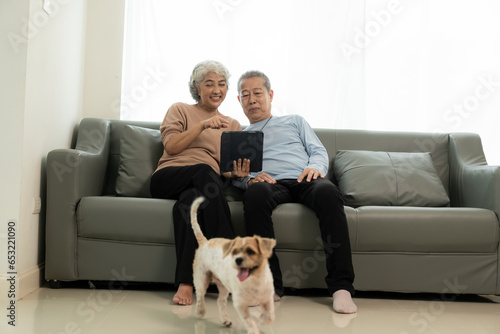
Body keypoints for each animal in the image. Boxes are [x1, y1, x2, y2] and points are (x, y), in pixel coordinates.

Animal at [191, 197, 278, 332]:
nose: (238, 260)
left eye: (251, 251)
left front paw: (263, 319)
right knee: (200, 295)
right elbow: (249, 321)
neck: (254, 281)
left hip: (223, 286)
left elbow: (270, 316)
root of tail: (205, 242)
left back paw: (224, 320)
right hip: (201, 278)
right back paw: (200, 311)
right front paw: (254, 330)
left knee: (220, 301)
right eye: (234, 251)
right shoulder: (240, 305)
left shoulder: (267, 299)